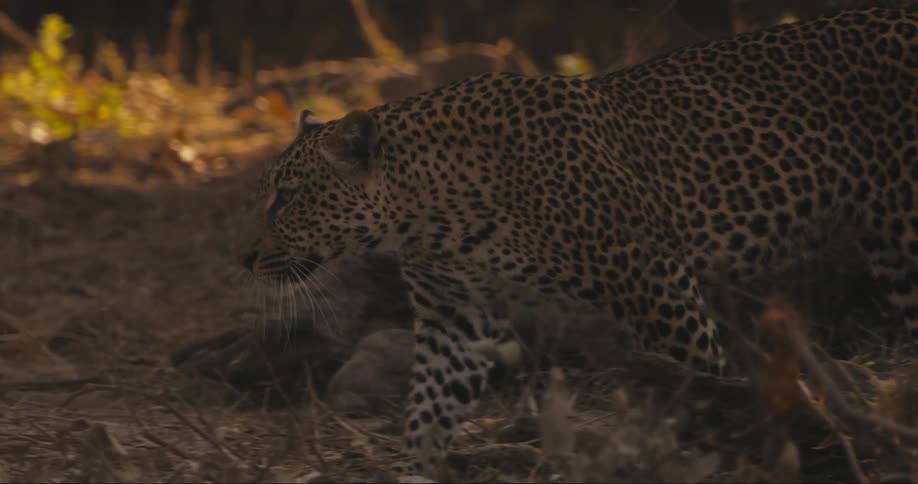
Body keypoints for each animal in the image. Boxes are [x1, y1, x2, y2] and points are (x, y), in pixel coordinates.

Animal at [240, 7, 917, 475]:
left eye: (288, 197)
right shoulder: (453, 318)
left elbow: (700, 380)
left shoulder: (655, 281)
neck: (431, 215)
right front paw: (415, 471)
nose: (245, 258)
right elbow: (429, 411)